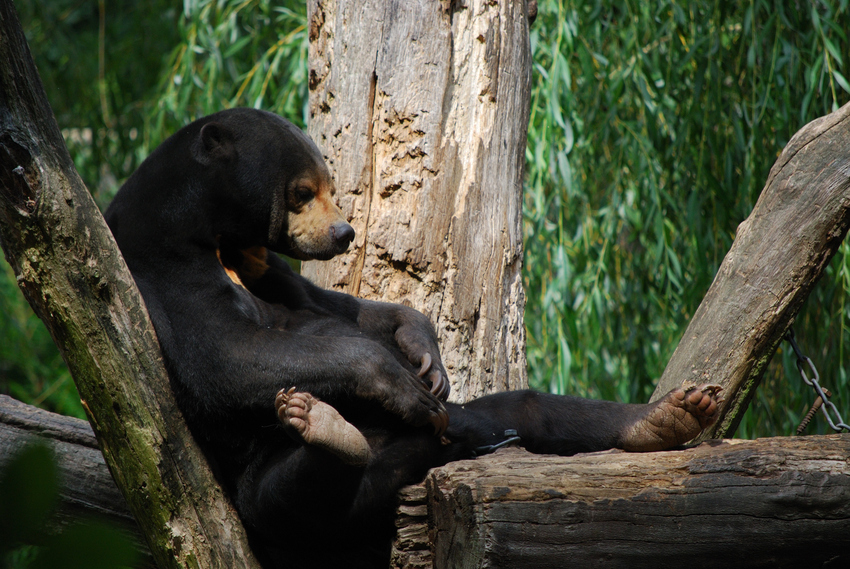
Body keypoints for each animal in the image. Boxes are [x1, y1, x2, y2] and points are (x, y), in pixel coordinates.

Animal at [102, 107, 720, 568]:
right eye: (302, 192)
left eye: (328, 188)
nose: (344, 232)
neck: (214, 229)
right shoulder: (160, 263)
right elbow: (224, 357)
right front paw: (401, 382)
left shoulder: (266, 266)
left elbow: (341, 309)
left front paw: (426, 359)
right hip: (263, 491)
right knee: (294, 496)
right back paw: (330, 430)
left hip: (474, 424)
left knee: (533, 408)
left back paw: (670, 414)